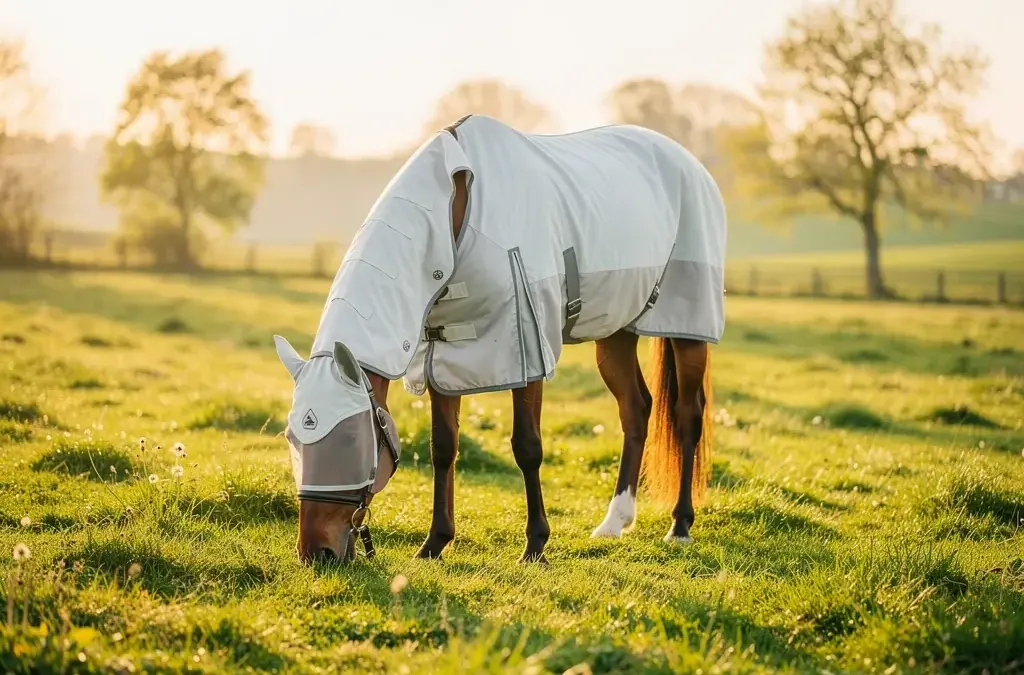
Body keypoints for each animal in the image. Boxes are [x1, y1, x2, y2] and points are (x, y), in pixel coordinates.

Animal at [274, 114, 726, 564]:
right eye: (293, 438)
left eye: (352, 438)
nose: (316, 553)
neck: (456, 214)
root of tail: (689, 164)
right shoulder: (443, 358)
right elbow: (443, 448)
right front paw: (434, 544)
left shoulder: (527, 351)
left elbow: (527, 447)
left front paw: (536, 546)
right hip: (615, 332)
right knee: (636, 409)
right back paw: (614, 523)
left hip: (687, 328)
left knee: (688, 414)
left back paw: (679, 525)